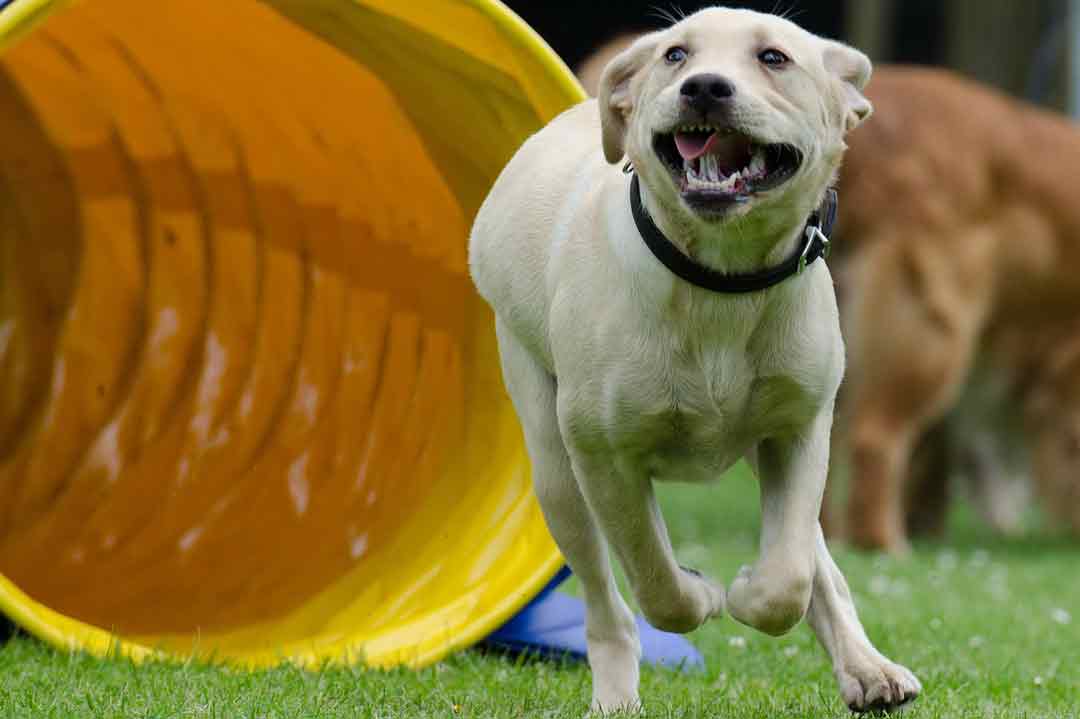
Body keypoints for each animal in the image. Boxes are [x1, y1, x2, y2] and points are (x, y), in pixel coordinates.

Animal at [468, 7, 915, 712]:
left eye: (774, 57)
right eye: (675, 54)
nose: (704, 87)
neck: (719, 281)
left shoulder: (800, 429)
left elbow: (790, 576)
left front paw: (747, 591)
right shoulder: (603, 455)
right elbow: (654, 576)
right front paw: (703, 593)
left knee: (819, 564)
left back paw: (870, 670)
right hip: (554, 469)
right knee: (607, 605)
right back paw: (616, 694)